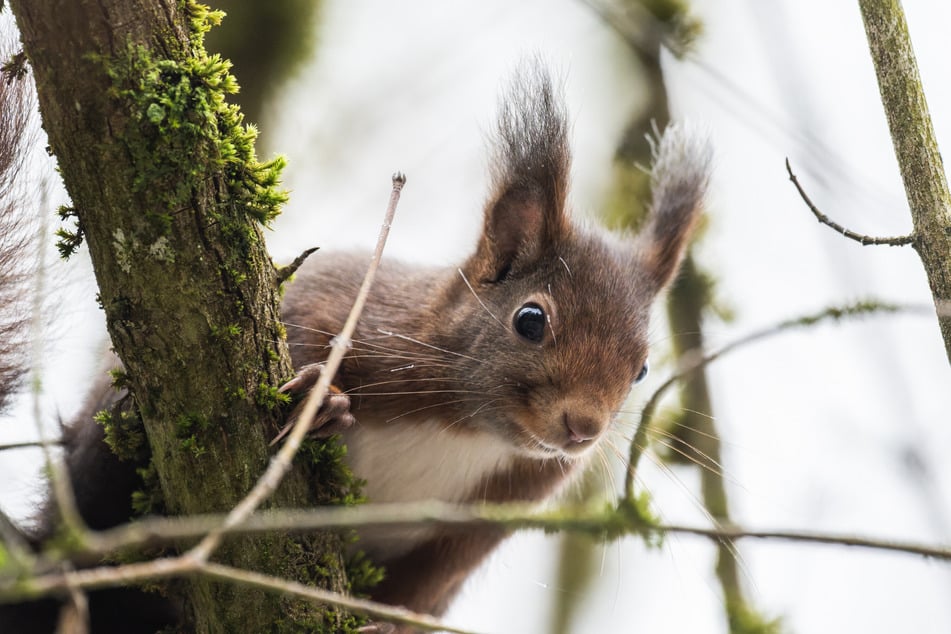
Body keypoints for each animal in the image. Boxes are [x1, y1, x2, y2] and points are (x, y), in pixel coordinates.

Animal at [0, 61, 711, 632]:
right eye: (530, 320)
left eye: (642, 368)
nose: (583, 428)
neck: (467, 427)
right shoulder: (351, 312)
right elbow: (291, 327)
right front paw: (320, 401)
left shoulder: (495, 510)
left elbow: (415, 590)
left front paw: (386, 627)